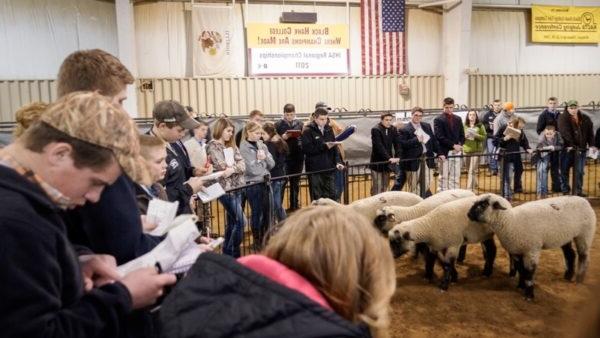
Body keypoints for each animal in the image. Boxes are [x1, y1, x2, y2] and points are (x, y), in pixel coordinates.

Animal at [468, 194, 596, 300]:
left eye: (483, 205)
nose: (468, 214)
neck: (512, 221)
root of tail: (584, 200)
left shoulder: (531, 250)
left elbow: (529, 273)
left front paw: (529, 295)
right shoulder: (516, 250)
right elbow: (521, 269)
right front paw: (520, 286)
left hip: (584, 234)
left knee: (584, 256)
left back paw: (579, 279)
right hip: (566, 236)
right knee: (570, 254)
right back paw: (568, 276)